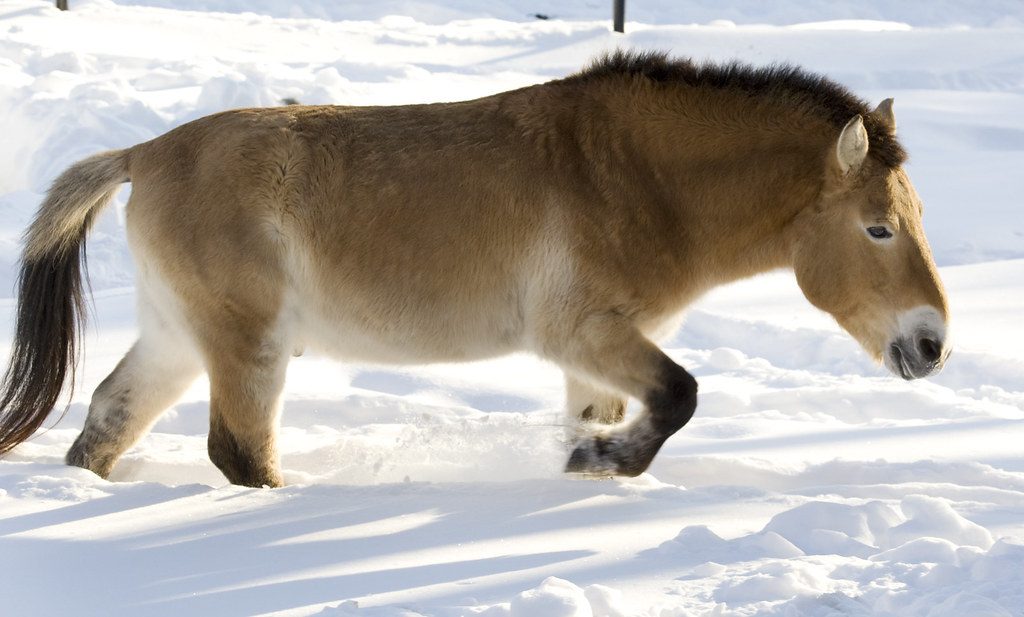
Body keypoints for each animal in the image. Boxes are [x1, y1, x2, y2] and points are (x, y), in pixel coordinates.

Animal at [0, 51, 950, 487]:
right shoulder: (582, 332)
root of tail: (144, 154)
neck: (631, 178)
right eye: (877, 229)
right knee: (239, 450)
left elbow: (613, 418)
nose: (932, 343)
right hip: (248, 344)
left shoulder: (594, 356)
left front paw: (591, 463)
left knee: (106, 421)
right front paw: (606, 460)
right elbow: (681, 395)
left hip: (176, 335)